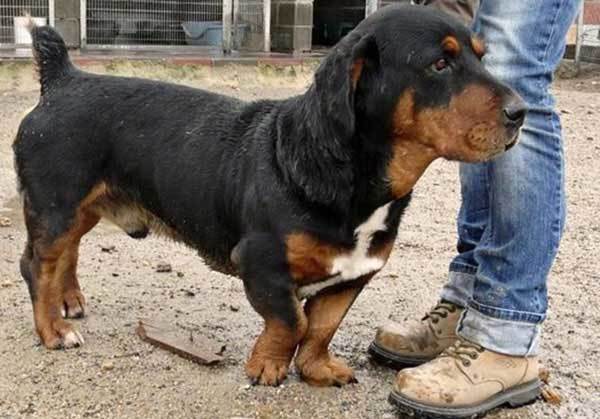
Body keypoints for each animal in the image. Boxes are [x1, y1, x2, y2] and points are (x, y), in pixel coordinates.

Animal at [14, 5, 524, 388]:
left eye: (482, 57)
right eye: (440, 64)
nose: (522, 112)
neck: (345, 173)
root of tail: (63, 78)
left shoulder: (353, 276)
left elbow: (321, 327)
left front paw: (317, 369)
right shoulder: (261, 264)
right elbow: (292, 321)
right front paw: (268, 365)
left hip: (78, 211)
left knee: (66, 254)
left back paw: (68, 301)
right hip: (57, 208)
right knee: (37, 264)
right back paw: (53, 330)